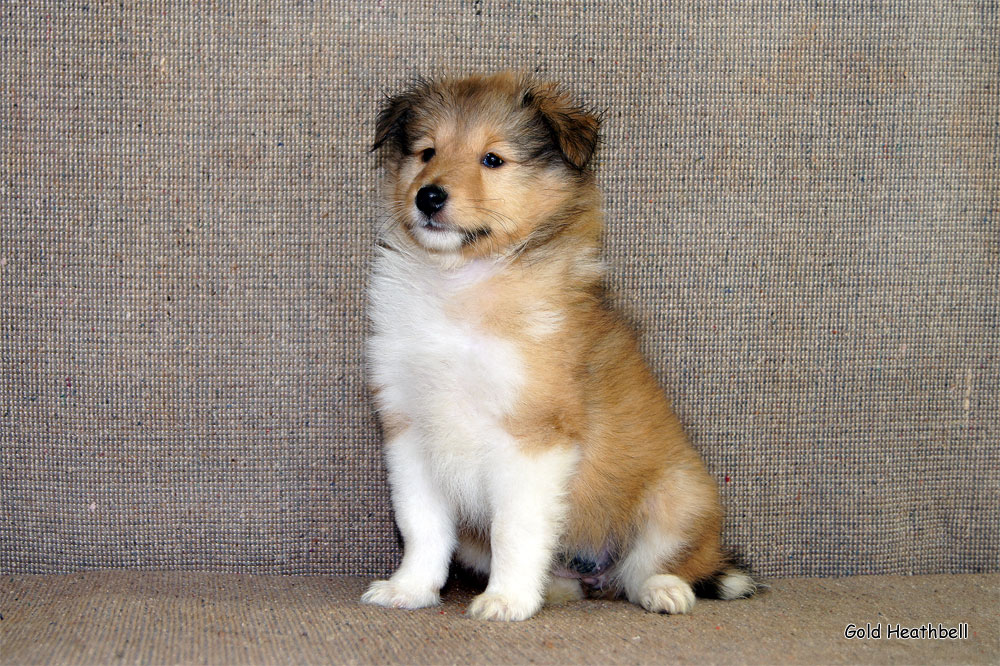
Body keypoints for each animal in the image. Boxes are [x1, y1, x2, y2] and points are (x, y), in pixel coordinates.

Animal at [364, 70, 752, 620]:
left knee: (650, 566)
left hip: (681, 497)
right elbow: (422, 525)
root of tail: (593, 571)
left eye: (492, 159)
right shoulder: (408, 428)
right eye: (426, 152)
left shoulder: (533, 434)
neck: (459, 284)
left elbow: (514, 528)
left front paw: (505, 601)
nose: (429, 197)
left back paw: (664, 590)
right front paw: (410, 589)